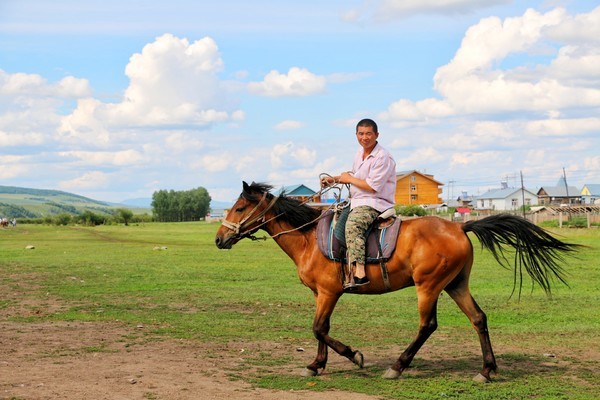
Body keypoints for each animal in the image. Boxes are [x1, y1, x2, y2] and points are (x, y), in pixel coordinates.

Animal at [214, 182, 576, 382]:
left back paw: (398, 366)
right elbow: (322, 329)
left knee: (428, 325)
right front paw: (316, 365)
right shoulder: (322, 294)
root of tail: (460, 226)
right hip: (455, 285)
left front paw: (353, 356)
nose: (219, 239)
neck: (307, 238)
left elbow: (318, 328)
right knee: (478, 318)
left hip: (429, 286)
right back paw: (486, 371)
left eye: (240, 207)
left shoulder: (329, 292)